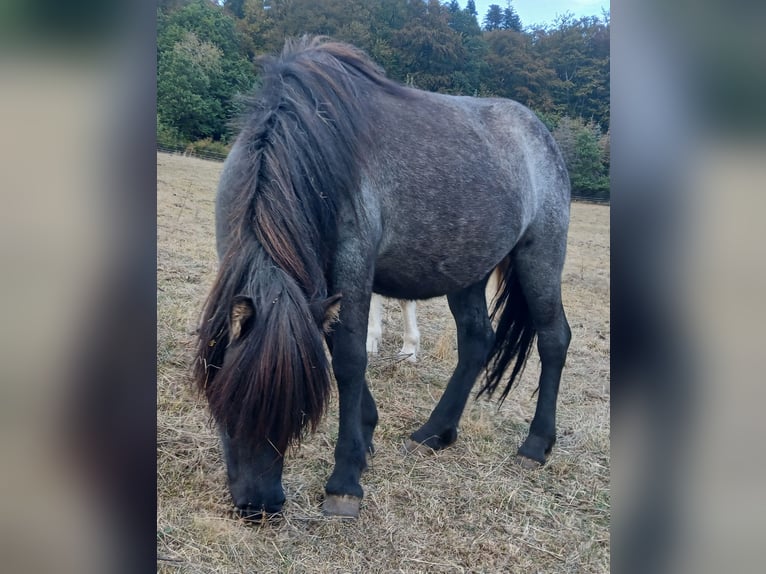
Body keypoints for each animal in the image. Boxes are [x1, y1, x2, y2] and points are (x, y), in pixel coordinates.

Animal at [194, 37, 571, 520]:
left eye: (299, 411)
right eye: (231, 401)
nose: (261, 505)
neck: (314, 150)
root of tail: (540, 134)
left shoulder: (353, 268)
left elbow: (350, 359)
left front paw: (344, 481)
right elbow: (336, 348)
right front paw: (366, 435)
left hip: (539, 258)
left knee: (553, 339)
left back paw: (535, 445)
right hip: (468, 271)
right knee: (476, 341)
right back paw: (435, 433)